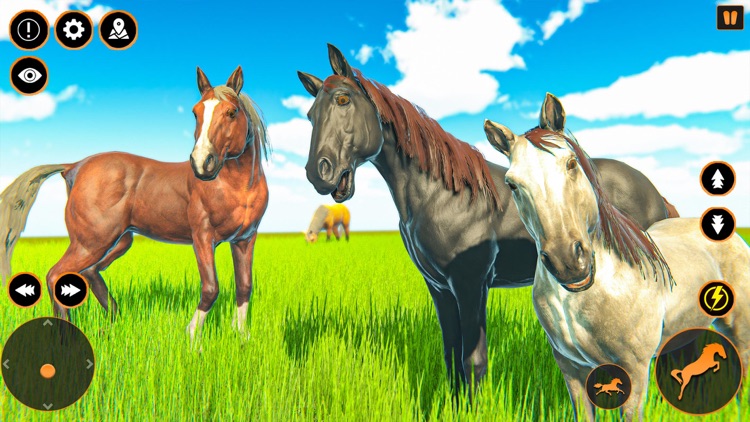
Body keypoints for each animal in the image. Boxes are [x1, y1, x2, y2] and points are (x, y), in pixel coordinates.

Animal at [0, 67, 269, 341]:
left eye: (232, 112)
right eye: (196, 112)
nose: (202, 163)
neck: (236, 188)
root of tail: (75, 166)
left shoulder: (245, 239)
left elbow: (244, 286)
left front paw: (242, 337)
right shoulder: (203, 237)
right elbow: (211, 288)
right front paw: (193, 338)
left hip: (119, 240)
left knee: (90, 272)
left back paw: (110, 325)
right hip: (91, 242)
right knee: (56, 274)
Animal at [296, 44, 678, 390]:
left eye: (343, 100)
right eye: (310, 116)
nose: (319, 173)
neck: (442, 195)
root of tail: (655, 191)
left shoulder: (471, 284)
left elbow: (473, 360)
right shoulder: (440, 289)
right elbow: (451, 356)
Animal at [484, 120, 750, 421]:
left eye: (571, 163)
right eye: (512, 184)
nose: (567, 261)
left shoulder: (634, 369)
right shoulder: (572, 369)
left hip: (739, 330)